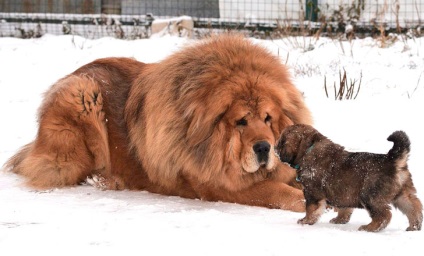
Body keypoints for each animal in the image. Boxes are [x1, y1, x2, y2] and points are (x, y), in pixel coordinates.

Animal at [5, 35, 312, 212]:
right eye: (240, 121)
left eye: (268, 118)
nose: (264, 148)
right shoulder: (219, 185)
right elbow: (277, 191)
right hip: (81, 95)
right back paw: (105, 178)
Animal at [278, 124, 420, 232]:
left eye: (281, 142)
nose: (274, 147)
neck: (308, 149)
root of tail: (393, 160)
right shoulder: (342, 193)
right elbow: (344, 208)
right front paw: (340, 220)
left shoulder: (312, 192)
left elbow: (311, 209)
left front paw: (306, 221)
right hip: (403, 194)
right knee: (414, 207)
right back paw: (414, 226)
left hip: (370, 196)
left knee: (384, 215)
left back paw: (369, 227)